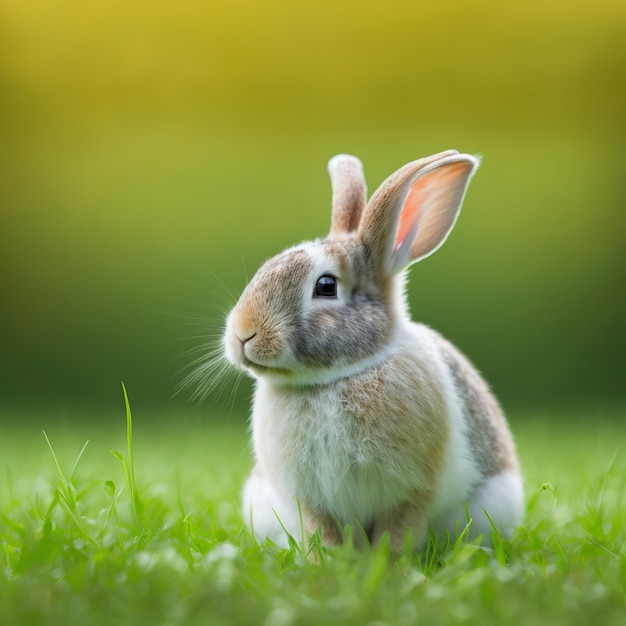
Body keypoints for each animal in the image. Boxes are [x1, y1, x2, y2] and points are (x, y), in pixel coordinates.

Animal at [224, 149, 520, 548]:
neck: (334, 379)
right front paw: (330, 560)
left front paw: (388, 560)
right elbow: (323, 532)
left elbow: (399, 530)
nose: (243, 334)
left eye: (326, 286)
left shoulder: (412, 491)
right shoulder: (311, 500)